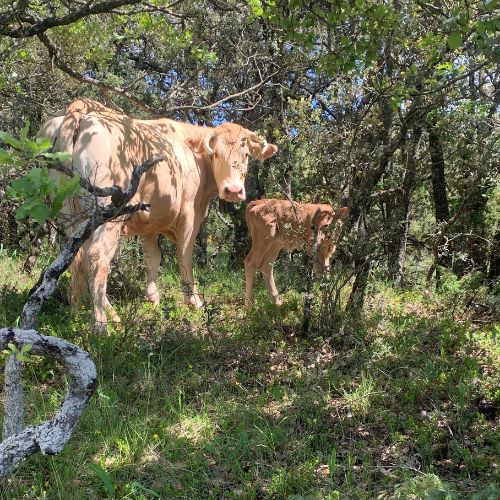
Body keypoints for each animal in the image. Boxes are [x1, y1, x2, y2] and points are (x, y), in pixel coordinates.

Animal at [49, 98, 278, 328]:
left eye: (246, 155)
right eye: (215, 154)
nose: (233, 190)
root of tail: (80, 109)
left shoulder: (149, 221)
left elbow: (153, 256)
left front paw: (152, 298)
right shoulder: (190, 215)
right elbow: (184, 255)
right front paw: (194, 300)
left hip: (71, 218)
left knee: (76, 258)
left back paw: (81, 312)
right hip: (107, 215)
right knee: (97, 259)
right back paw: (101, 325)